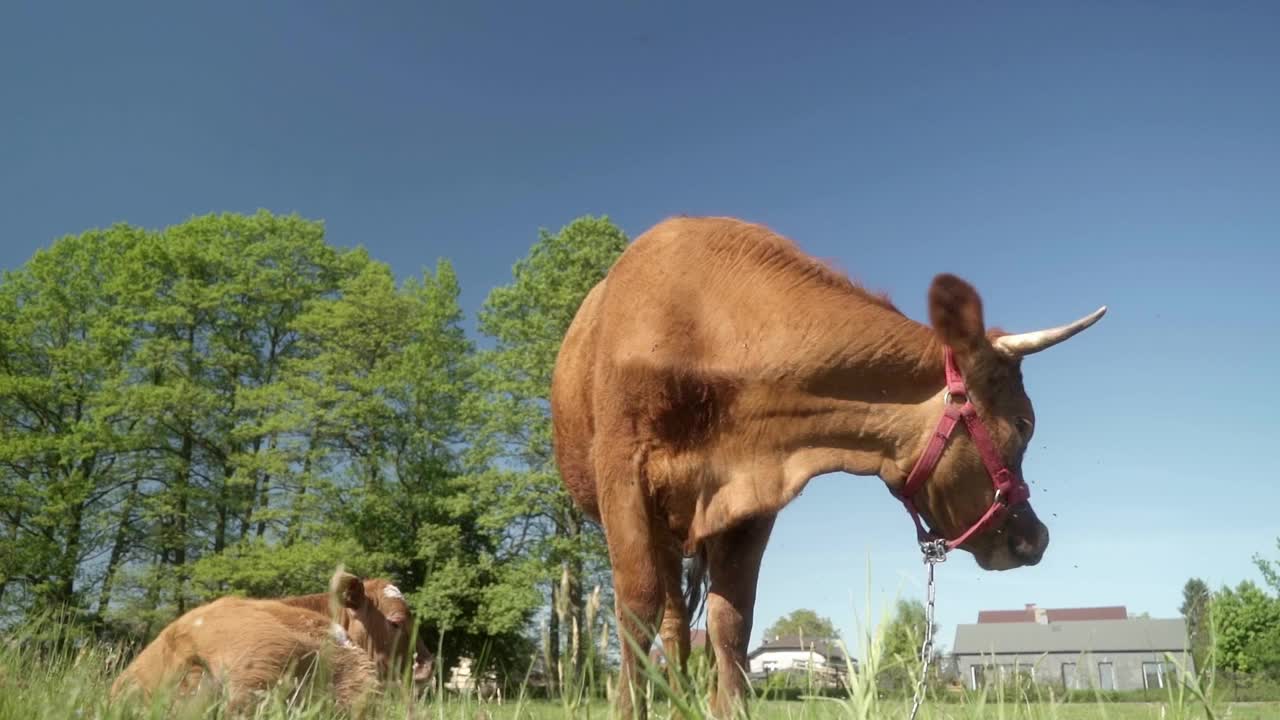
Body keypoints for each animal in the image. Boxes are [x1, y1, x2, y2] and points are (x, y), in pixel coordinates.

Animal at [547, 215, 1100, 712]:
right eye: (1025, 424)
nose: (1035, 538)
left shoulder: (753, 500)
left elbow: (732, 623)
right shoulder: (623, 473)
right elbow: (636, 608)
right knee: (668, 617)